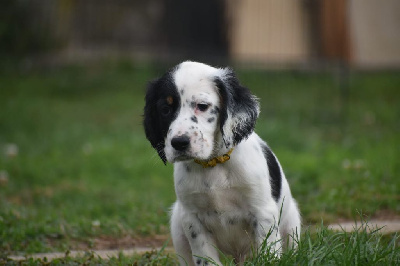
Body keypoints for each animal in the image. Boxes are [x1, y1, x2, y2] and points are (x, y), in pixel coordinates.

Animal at [144, 61, 300, 264]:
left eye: (202, 106)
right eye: (165, 109)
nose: (179, 143)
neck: (214, 164)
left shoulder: (262, 211)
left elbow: (268, 251)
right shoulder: (192, 218)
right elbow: (205, 257)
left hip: (291, 224)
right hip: (177, 225)